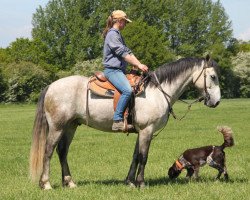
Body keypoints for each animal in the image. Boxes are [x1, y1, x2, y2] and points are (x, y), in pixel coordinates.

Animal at [29, 55, 221, 189]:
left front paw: (130, 181)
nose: (217, 102)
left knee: (62, 152)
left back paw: (69, 182)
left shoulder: (141, 131)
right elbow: (143, 157)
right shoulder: (147, 130)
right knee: (48, 151)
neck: (157, 92)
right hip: (57, 127)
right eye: (213, 76)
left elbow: (135, 156)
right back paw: (46, 184)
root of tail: (51, 86)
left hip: (70, 126)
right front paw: (141, 183)